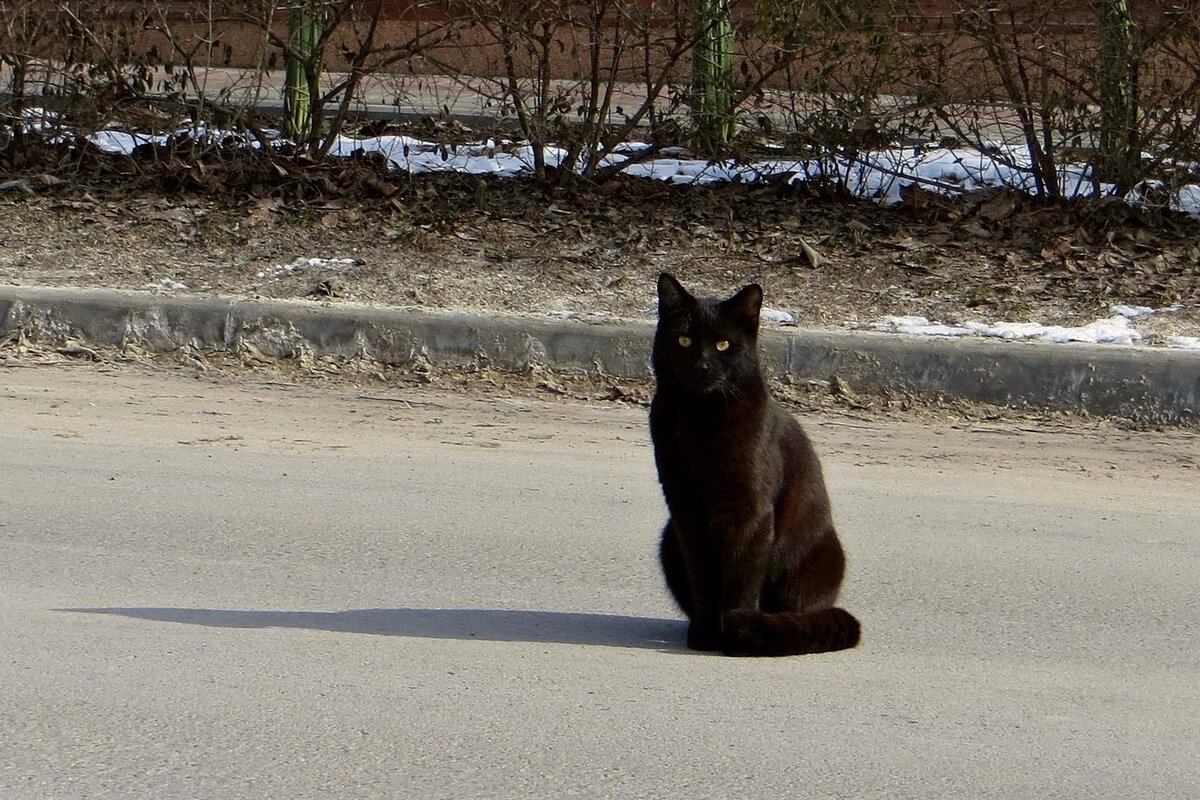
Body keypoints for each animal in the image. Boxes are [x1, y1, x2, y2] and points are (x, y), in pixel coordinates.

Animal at [648, 275, 864, 657]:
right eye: (684, 340)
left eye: (722, 344)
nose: (702, 366)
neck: (700, 419)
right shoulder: (686, 511)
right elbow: (703, 578)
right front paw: (706, 634)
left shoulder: (750, 512)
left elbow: (740, 578)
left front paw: (736, 632)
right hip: (668, 537)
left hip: (820, 557)